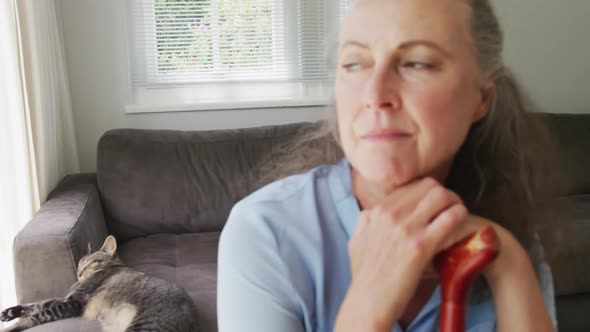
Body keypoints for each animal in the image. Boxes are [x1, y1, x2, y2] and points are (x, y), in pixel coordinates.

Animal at [0, 236, 200, 332]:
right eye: (79, 264)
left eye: (90, 263)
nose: (78, 273)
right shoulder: (65, 299)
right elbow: (36, 304)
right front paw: (9, 312)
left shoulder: (74, 303)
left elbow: (37, 315)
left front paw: (11, 327)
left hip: (145, 325)